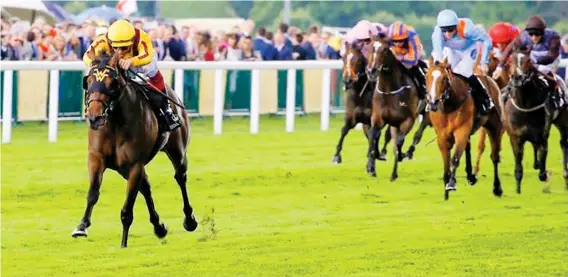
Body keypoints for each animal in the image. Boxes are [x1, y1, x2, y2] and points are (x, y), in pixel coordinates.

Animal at [71, 50, 197, 247]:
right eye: (88, 81)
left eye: (111, 83)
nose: (94, 117)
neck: (115, 124)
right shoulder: (96, 158)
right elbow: (93, 193)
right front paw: (82, 226)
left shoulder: (135, 164)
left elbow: (127, 209)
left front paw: (123, 244)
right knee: (145, 186)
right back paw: (158, 226)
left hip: (177, 150)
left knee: (180, 177)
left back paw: (189, 220)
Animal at [366, 38, 424, 180]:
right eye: (370, 47)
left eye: (385, 50)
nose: (372, 71)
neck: (389, 90)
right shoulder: (378, 117)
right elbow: (374, 136)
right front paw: (371, 167)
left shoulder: (409, 119)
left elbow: (399, 142)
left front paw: (394, 173)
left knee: (418, 132)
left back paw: (407, 153)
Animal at [426, 55, 506, 199]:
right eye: (427, 76)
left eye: (445, 78)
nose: (433, 103)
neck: (450, 105)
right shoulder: (441, 136)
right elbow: (446, 162)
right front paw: (446, 188)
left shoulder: (461, 131)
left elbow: (455, 158)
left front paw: (451, 183)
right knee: (469, 147)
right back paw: (471, 176)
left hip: (495, 127)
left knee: (495, 156)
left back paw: (497, 188)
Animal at [502, 51, 568, 193]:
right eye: (509, 61)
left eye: (528, 61)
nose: (517, 77)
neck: (526, 106)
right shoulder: (515, 138)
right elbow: (518, 168)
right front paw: (518, 190)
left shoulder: (542, 136)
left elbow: (542, 171)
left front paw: (546, 175)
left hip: (562, 122)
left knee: (564, 143)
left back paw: (565, 176)